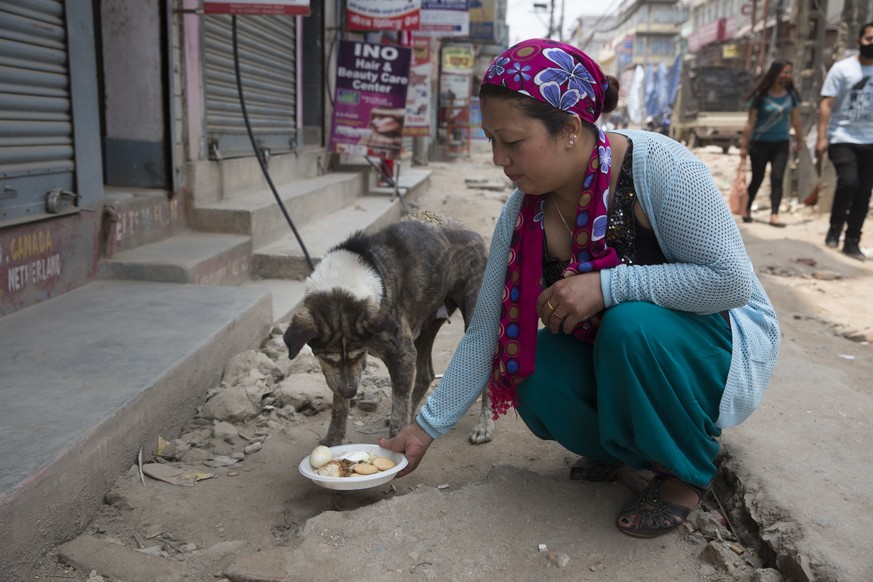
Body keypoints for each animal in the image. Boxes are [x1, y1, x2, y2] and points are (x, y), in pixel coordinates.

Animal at [284, 213, 494, 448]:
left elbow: (399, 408)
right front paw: (333, 441)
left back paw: (484, 426)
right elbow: (339, 406)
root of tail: (474, 234)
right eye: (328, 358)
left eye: (358, 353)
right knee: (426, 374)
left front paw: (396, 443)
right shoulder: (345, 372)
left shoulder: (401, 354)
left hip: (477, 317)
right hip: (424, 326)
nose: (351, 392)